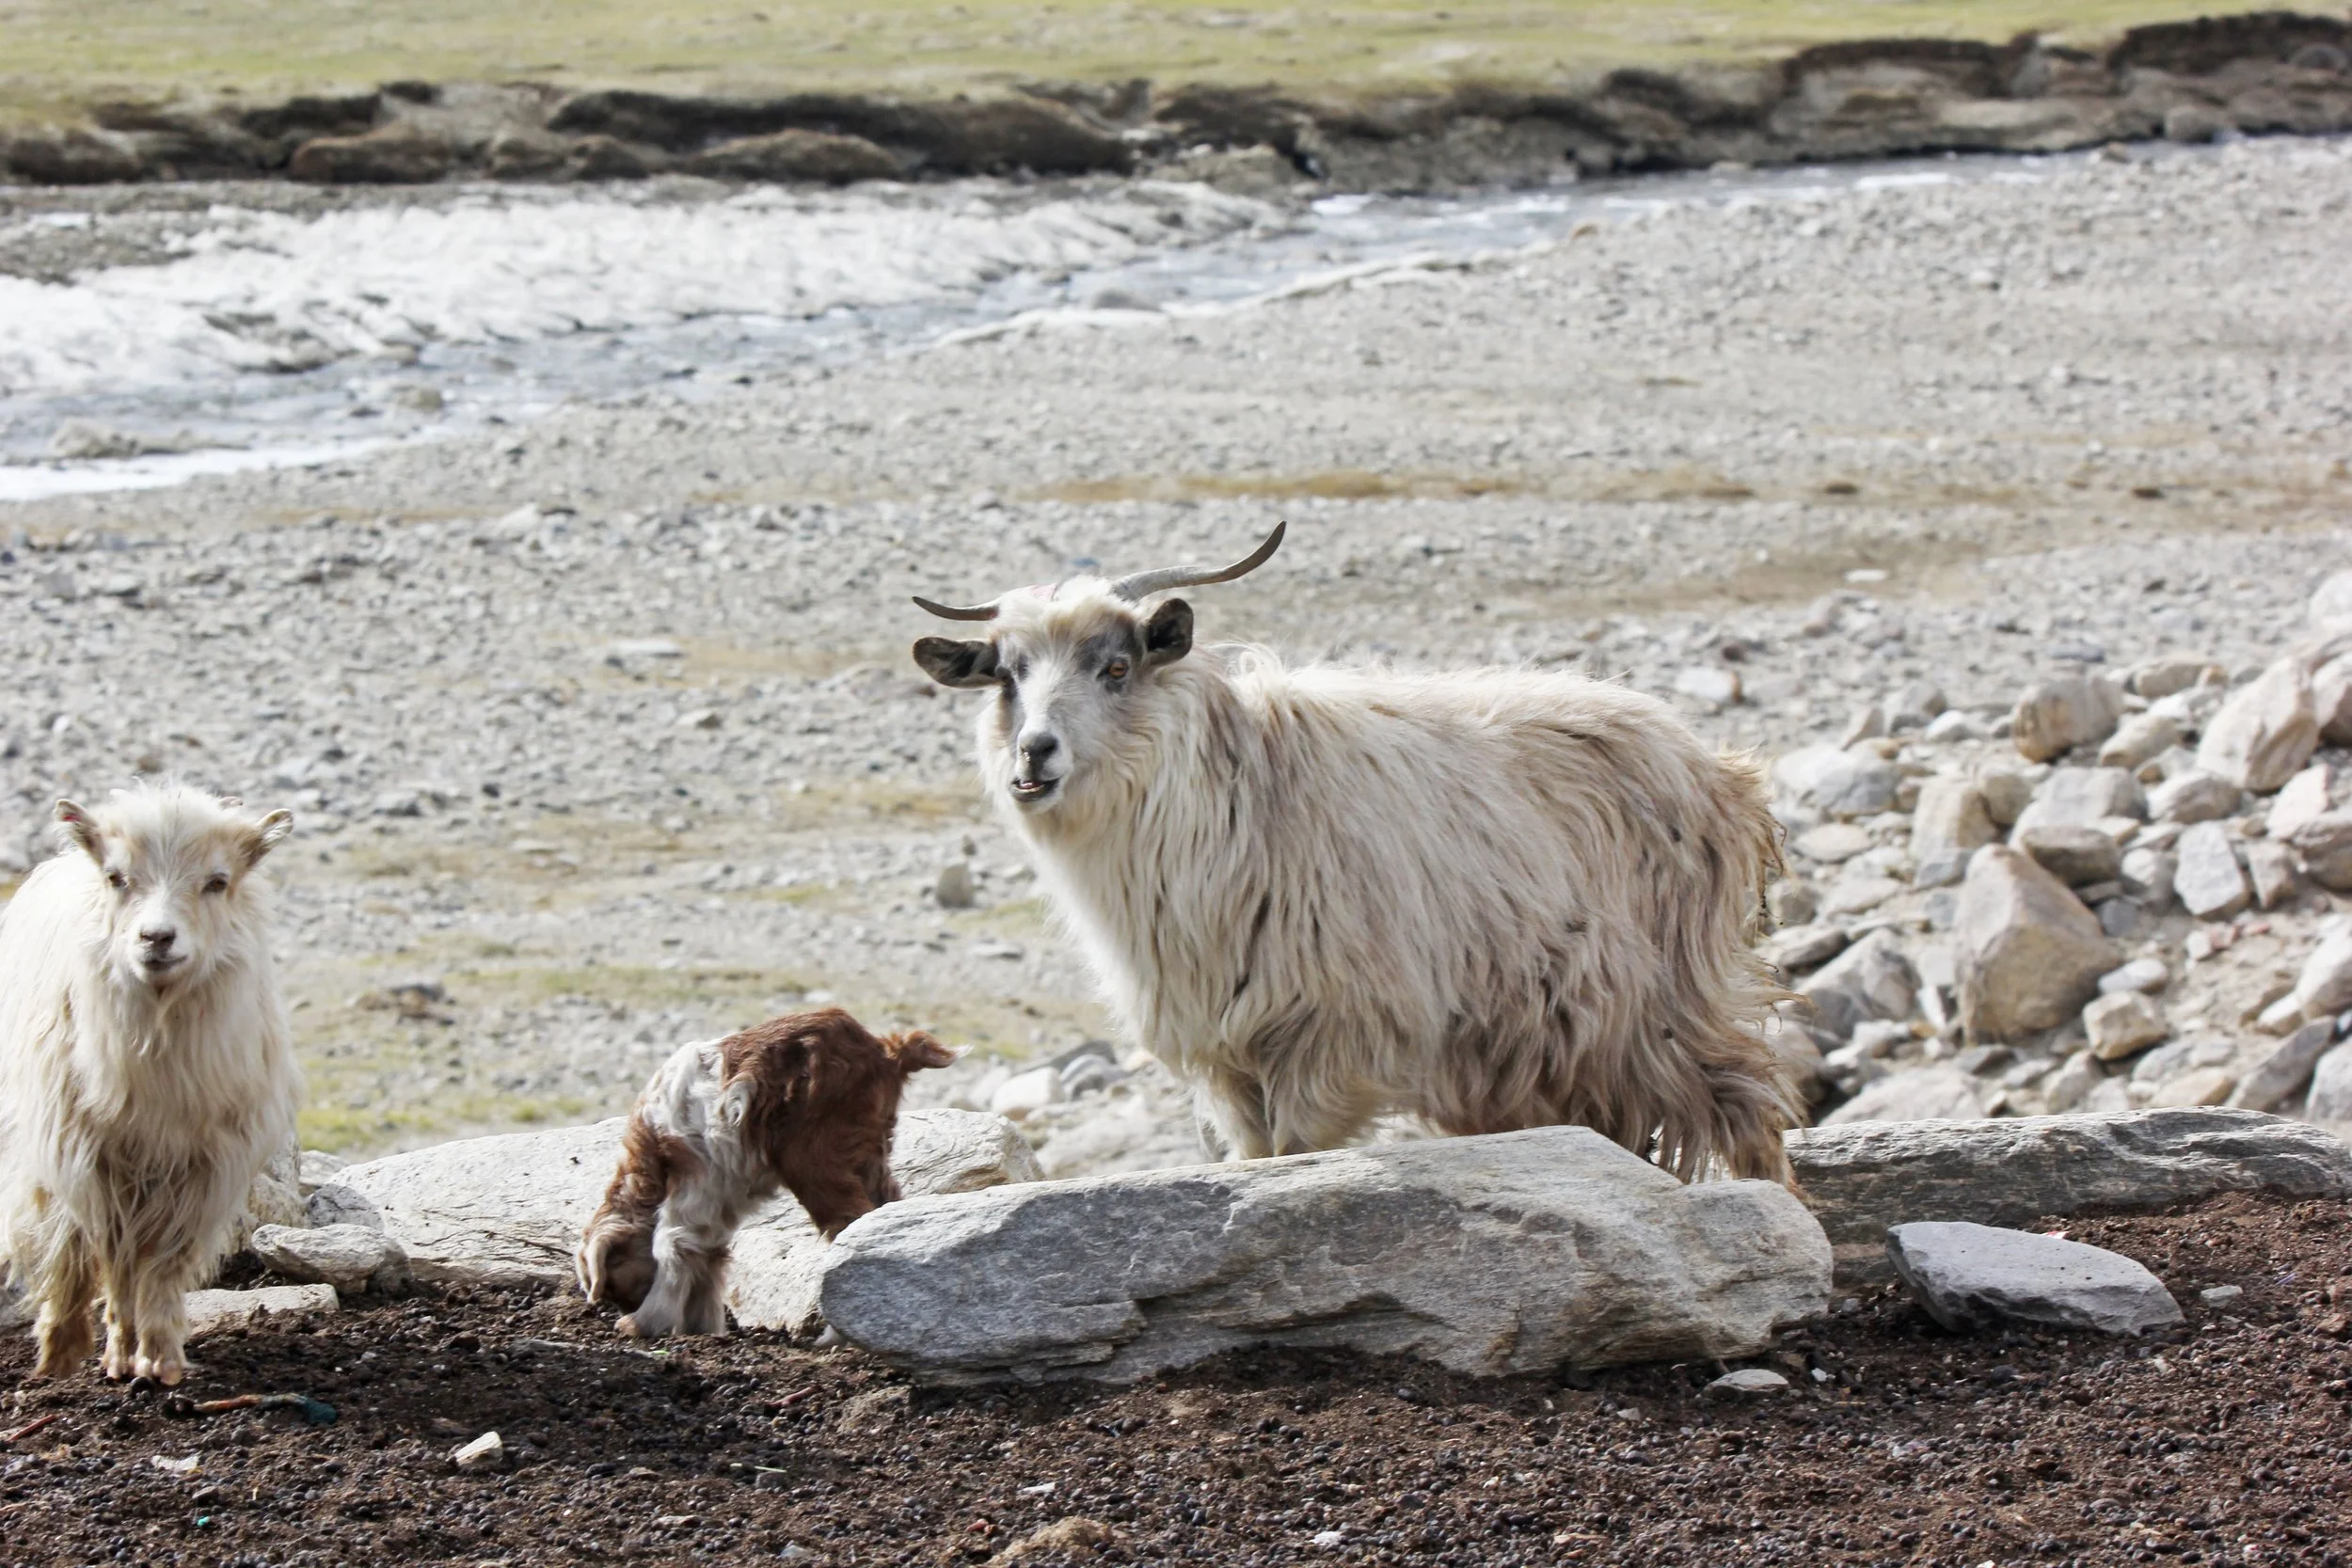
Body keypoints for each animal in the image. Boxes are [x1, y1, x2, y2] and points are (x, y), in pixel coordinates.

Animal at [0, 785, 297, 1383]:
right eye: (117, 877)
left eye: (217, 881)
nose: (156, 938)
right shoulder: (90, 1160)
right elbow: (111, 1258)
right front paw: (118, 1354)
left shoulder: (205, 1167)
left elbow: (164, 1261)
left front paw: (160, 1358)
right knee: (68, 1248)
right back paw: (60, 1347)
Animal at [576, 1008, 955, 1338]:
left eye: (612, 1283)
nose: (624, 1307)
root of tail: (887, 1052)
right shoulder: (721, 1194)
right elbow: (708, 1252)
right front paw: (703, 1328)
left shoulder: (697, 1170)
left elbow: (674, 1240)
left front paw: (642, 1324)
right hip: (867, 1151)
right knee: (882, 1208)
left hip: (815, 1156)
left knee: (848, 1219)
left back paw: (837, 1335)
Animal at [910, 523, 1797, 1182]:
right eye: (1008, 676)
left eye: (1117, 666)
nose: (1035, 754)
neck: (1238, 801)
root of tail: (1725, 774)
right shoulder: (1230, 1063)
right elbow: (1255, 1159)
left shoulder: (1332, 1040)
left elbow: (1295, 1156)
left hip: (1668, 1006)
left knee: (1752, 1113)